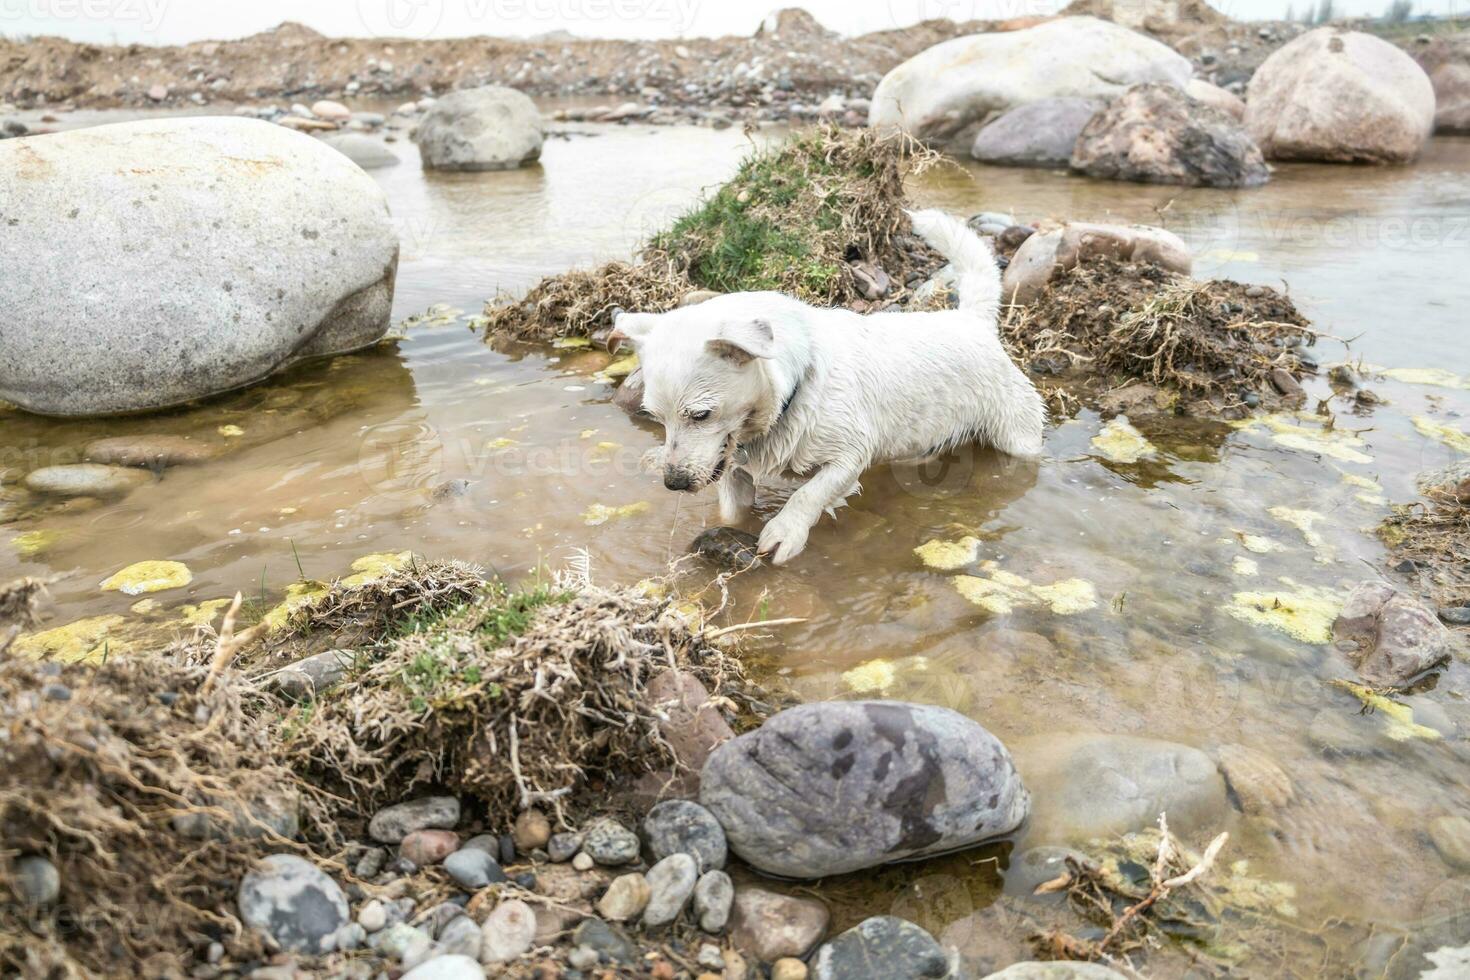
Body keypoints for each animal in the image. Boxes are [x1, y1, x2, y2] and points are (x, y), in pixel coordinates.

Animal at [608, 211, 1046, 564]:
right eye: (655, 417)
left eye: (700, 414)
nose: (674, 484)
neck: (795, 387)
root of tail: (972, 321)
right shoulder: (733, 468)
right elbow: (732, 511)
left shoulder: (848, 457)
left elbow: (808, 494)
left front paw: (785, 532)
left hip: (1017, 437)